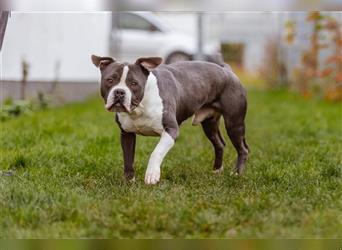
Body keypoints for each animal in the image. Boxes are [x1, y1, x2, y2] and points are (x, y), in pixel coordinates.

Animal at [91, 56, 248, 186]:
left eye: (134, 83)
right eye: (110, 80)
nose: (119, 92)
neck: (139, 107)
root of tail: (226, 70)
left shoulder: (171, 130)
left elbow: (156, 152)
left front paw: (152, 175)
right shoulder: (126, 134)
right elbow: (128, 158)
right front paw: (129, 181)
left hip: (234, 123)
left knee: (243, 148)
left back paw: (236, 173)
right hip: (209, 124)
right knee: (219, 144)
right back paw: (217, 171)